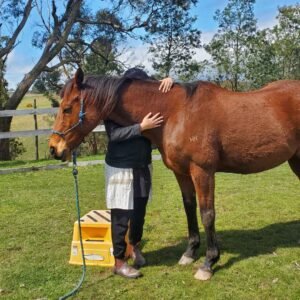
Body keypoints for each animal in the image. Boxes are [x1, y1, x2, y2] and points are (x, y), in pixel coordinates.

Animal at [49, 68, 300, 282]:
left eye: (67, 108)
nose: (54, 148)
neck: (176, 113)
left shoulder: (202, 171)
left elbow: (207, 214)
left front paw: (208, 263)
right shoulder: (182, 172)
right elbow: (189, 208)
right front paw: (190, 253)